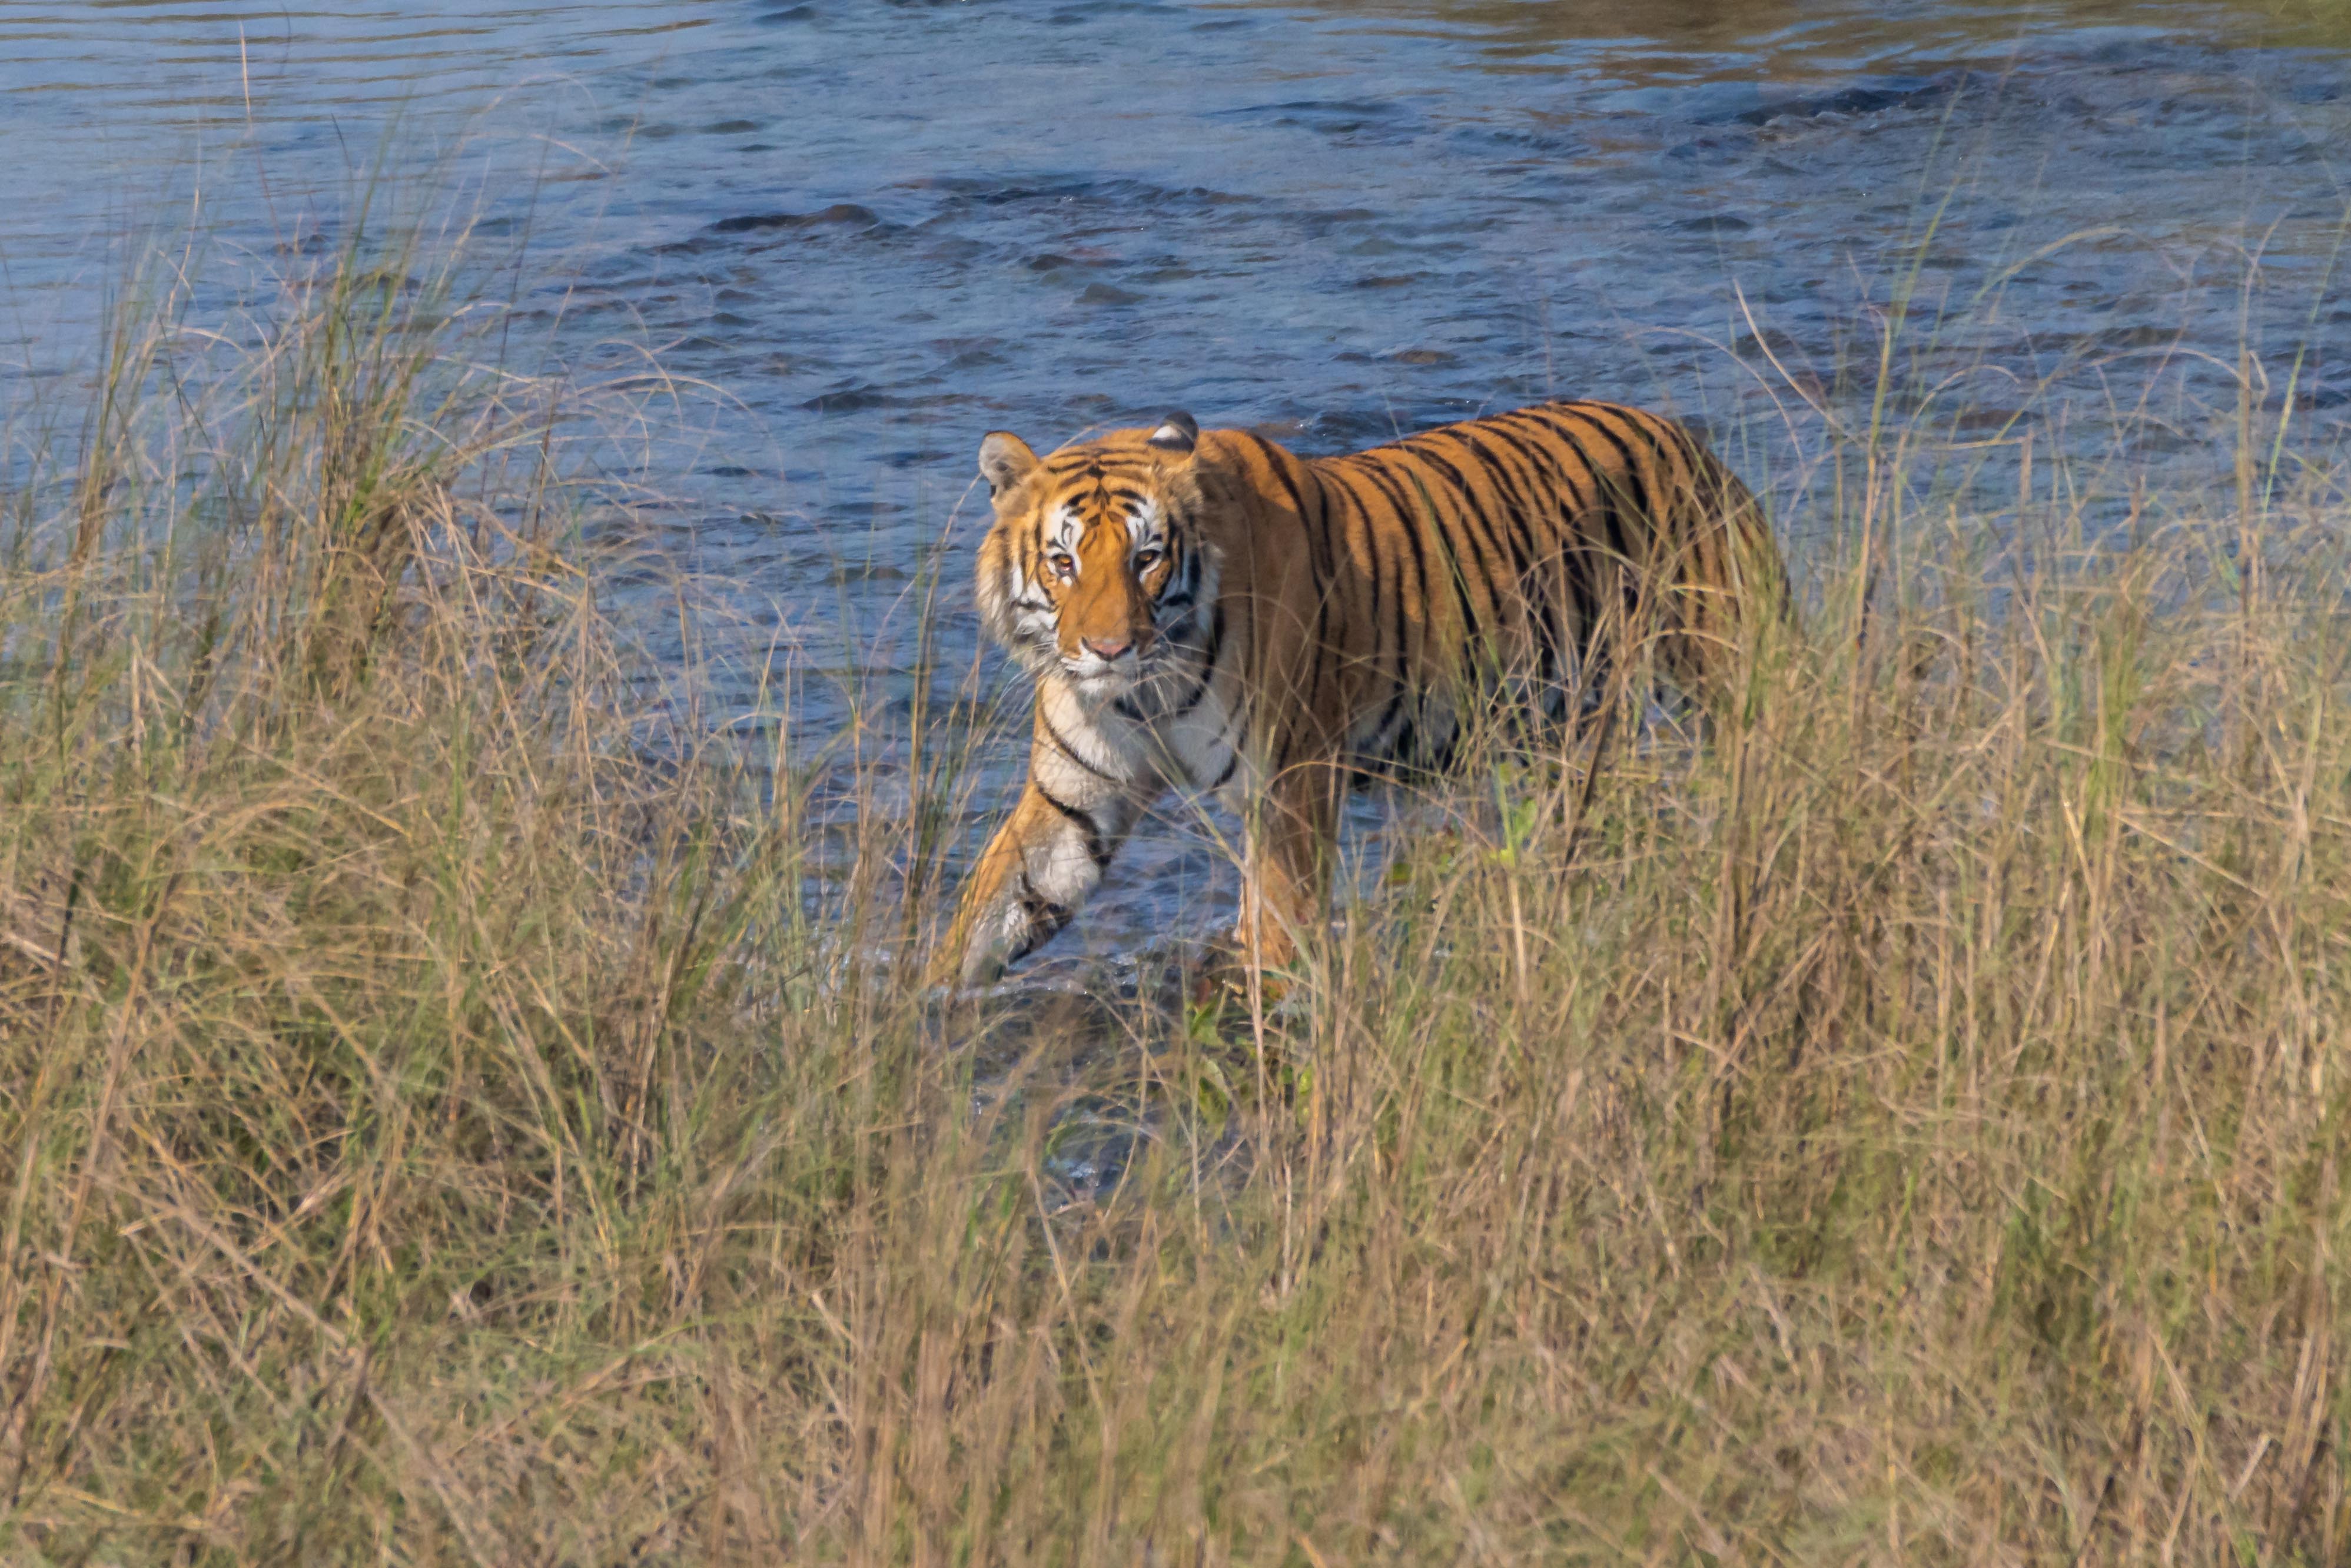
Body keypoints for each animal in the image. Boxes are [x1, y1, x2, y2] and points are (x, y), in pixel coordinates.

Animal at [928, 399, 1787, 990]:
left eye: (1146, 558)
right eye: (1063, 563)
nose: (1109, 650)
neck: (1145, 692)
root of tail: (1689, 442)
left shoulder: (1291, 783)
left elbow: (1277, 925)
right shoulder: (1074, 799)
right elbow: (990, 911)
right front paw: (916, 1016)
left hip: (1728, 669)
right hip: (1565, 732)